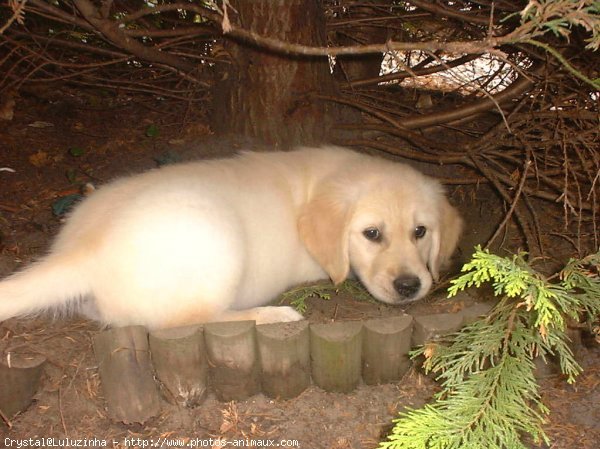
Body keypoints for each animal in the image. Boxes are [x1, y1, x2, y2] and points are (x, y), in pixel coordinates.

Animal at [0, 147, 462, 328]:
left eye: (420, 232)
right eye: (371, 234)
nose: (410, 286)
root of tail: (82, 248)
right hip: (218, 236)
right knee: (192, 319)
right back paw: (273, 314)